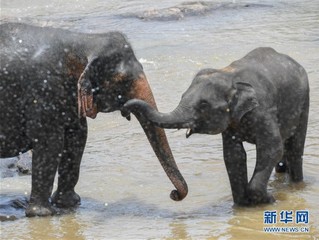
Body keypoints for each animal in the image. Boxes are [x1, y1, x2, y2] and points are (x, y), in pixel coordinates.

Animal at [0, 23, 188, 218]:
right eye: (122, 80)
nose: (174, 194)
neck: (83, 42)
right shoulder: (42, 93)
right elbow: (50, 144)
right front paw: (43, 214)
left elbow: (78, 138)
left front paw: (70, 203)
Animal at [124, 47, 310, 206]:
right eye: (182, 96)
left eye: (203, 105)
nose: (125, 109)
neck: (230, 77)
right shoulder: (230, 123)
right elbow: (233, 155)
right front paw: (243, 204)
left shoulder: (263, 109)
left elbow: (271, 147)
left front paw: (269, 200)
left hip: (304, 101)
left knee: (295, 146)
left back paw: (296, 184)